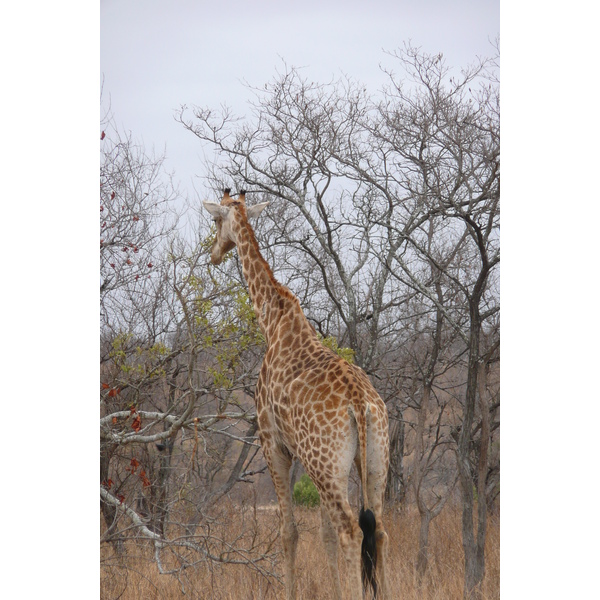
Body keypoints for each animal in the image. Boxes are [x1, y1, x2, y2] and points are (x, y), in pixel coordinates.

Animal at [204, 190, 392, 596]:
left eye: (215, 221)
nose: (214, 253)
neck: (272, 321)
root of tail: (360, 403)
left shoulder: (274, 444)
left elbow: (288, 532)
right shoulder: (310, 462)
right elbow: (323, 535)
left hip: (327, 463)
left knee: (352, 531)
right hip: (371, 460)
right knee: (379, 530)